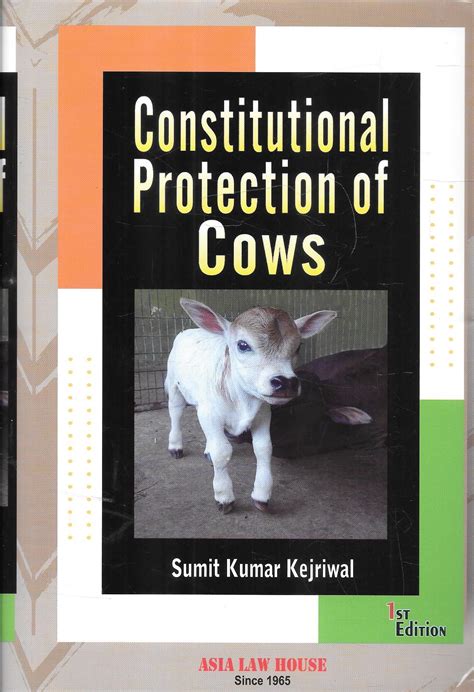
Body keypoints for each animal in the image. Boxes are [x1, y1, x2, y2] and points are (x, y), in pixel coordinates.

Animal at [165, 298, 338, 514]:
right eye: (242, 345)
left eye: (298, 347)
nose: (285, 382)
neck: (241, 400)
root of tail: (188, 330)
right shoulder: (210, 413)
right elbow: (222, 451)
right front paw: (224, 496)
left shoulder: (263, 414)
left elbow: (263, 449)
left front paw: (262, 495)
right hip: (174, 385)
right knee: (176, 412)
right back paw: (175, 446)